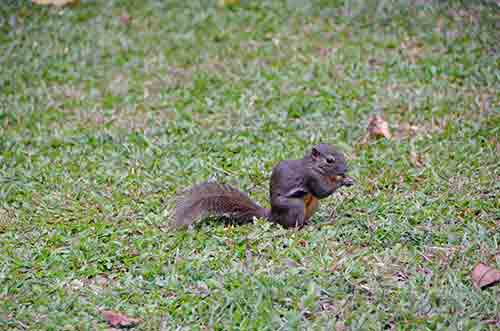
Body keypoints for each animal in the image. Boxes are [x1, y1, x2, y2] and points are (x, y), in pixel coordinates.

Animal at [174, 144, 354, 230]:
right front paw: (342, 181)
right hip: (294, 206)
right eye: (329, 160)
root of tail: (272, 215)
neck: (314, 166)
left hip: (312, 205)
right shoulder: (311, 177)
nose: (346, 169)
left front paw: (346, 178)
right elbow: (322, 191)